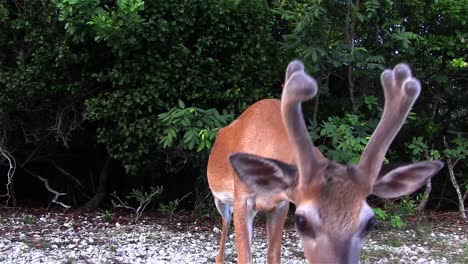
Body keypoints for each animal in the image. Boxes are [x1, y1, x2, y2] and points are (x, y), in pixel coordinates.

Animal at [207, 60, 444, 264]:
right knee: (225, 225)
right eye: (301, 221)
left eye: (370, 223)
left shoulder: (281, 204)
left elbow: (273, 256)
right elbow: (244, 257)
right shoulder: (243, 199)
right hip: (222, 201)